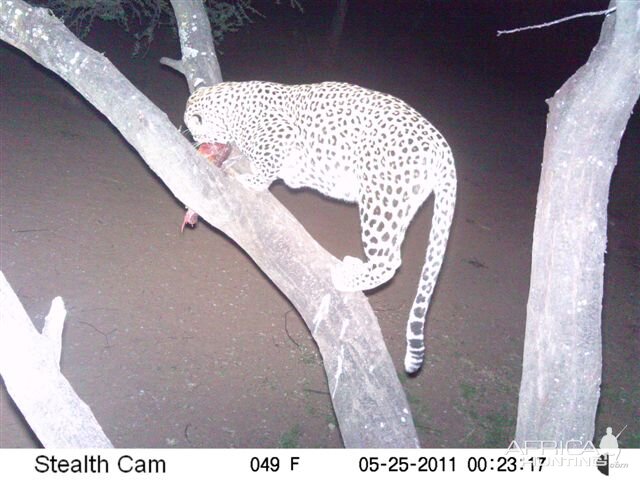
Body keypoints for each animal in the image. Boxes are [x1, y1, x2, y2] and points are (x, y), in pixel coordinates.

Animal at [182, 80, 458, 374]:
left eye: (195, 127)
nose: (198, 141)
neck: (232, 109)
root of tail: (441, 145)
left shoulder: (281, 134)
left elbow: (265, 169)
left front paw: (248, 178)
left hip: (380, 197)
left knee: (389, 260)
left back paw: (347, 277)